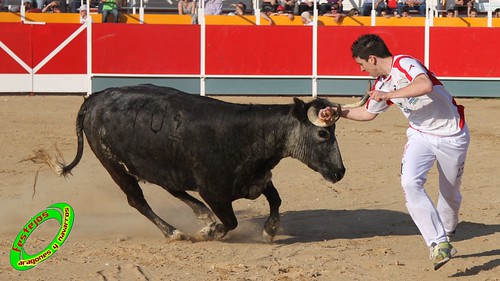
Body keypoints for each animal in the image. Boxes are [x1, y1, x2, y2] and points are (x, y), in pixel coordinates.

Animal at [53, 84, 348, 242]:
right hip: (114, 167)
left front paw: (269, 230)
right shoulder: (214, 193)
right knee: (137, 200)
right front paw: (211, 231)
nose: (340, 172)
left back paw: (201, 214)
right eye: (323, 134)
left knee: (173, 189)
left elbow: (275, 199)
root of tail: (95, 98)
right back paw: (174, 232)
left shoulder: (258, 179)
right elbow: (230, 222)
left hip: (163, 166)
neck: (248, 133)